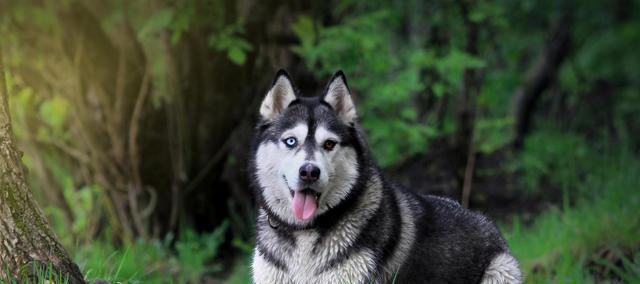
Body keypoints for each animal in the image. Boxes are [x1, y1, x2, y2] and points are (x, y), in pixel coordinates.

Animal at [249, 69, 520, 284]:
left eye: (329, 144)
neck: (304, 232)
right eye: (291, 141)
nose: (309, 172)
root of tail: (488, 223)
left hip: (501, 270)